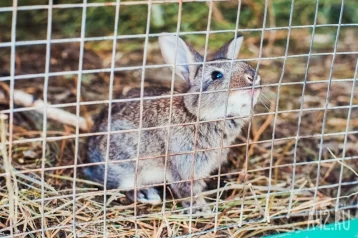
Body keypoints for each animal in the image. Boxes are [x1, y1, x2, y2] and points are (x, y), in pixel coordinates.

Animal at [84, 33, 262, 214]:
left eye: (245, 64)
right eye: (216, 76)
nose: (253, 77)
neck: (197, 115)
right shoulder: (184, 166)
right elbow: (186, 191)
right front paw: (202, 210)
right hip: (126, 168)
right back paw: (146, 194)